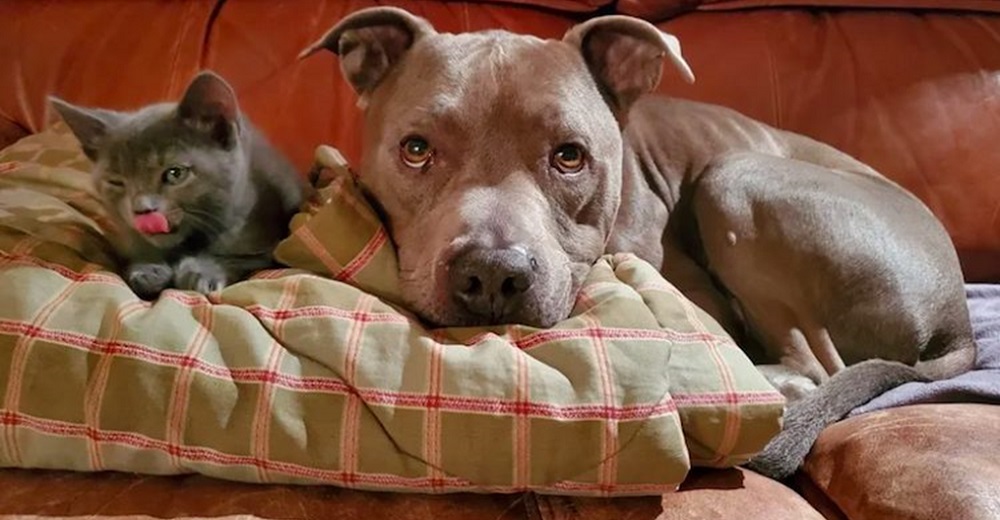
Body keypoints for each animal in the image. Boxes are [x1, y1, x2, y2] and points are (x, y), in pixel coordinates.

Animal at [50, 70, 304, 296]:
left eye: (175, 173)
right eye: (116, 182)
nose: (143, 210)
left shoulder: (263, 243)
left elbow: (236, 258)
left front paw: (201, 271)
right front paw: (147, 268)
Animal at [302, 7, 976, 480]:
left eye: (570, 156)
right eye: (416, 149)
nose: (492, 274)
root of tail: (959, 320)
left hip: (736, 173)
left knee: (816, 366)